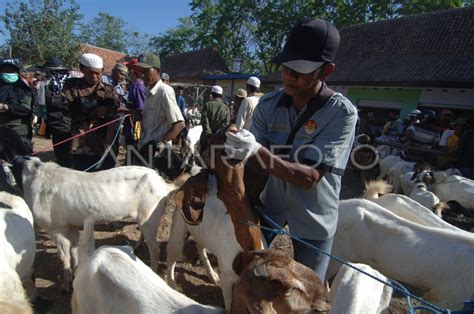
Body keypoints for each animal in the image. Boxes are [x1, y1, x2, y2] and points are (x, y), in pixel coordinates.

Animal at [11, 158, 181, 290]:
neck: (36, 177)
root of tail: (163, 184)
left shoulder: (56, 228)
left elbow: (64, 255)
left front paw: (66, 284)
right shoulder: (72, 226)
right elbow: (74, 249)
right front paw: (75, 273)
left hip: (149, 218)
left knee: (155, 250)